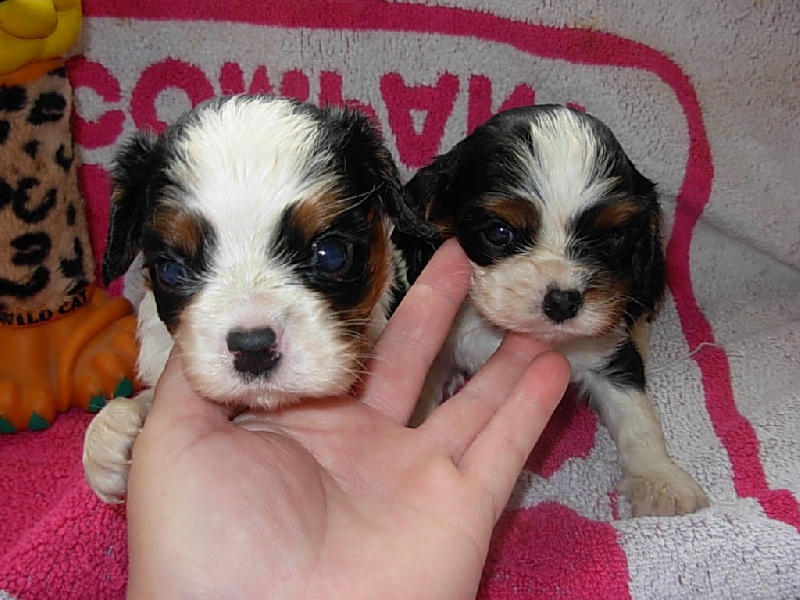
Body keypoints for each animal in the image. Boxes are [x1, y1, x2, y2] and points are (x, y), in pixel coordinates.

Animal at [394, 104, 709, 517]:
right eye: (498, 232)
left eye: (612, 239)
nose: (562, 301)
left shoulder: (609, 350)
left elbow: (635, 413)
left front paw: (659, 478)